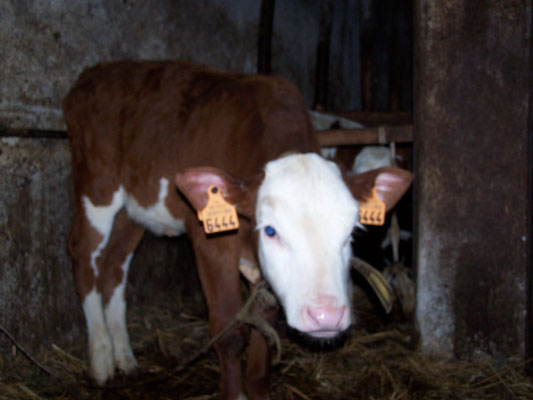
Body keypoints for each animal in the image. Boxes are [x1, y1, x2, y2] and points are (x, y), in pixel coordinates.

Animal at [63, 60, 412, 400]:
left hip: (133, 208)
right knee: (84, 255)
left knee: (115, 264)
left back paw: (124, 358)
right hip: (96, 186)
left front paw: (257, 388)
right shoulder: (209, 242)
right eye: (270, 230)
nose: (325, 316)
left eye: (352, 232)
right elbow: (230, 330)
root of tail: (95, 72)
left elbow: (263, 325)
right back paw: (102, 359)